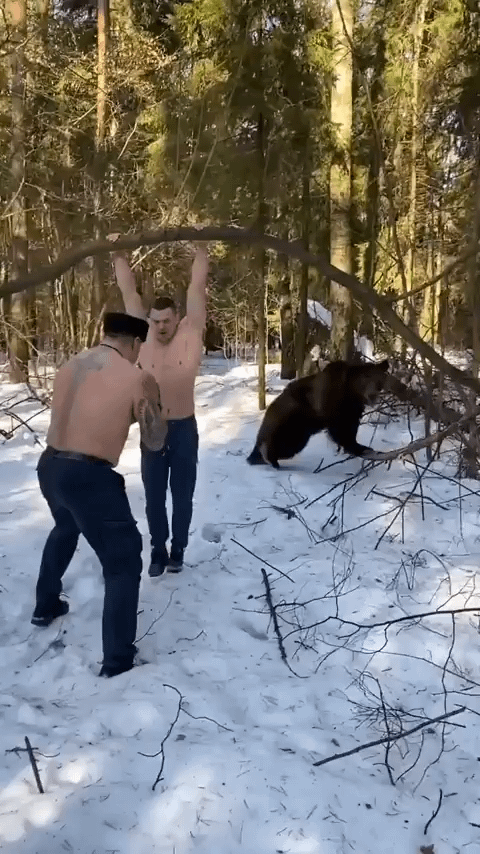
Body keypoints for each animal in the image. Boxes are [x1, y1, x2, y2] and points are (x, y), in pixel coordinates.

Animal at [246, 359, 390, 469]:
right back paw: (267, 456)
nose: (373, 395)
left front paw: (361, 446)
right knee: (279, 441)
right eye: (366, 378)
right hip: (290, 419)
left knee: (288, 447)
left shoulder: (353, 410)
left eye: (380, 381)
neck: (351, 394)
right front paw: (356, 447)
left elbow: (351, 428)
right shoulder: (332, 403)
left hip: (300, 431)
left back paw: (261, 459)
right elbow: (339, 430)